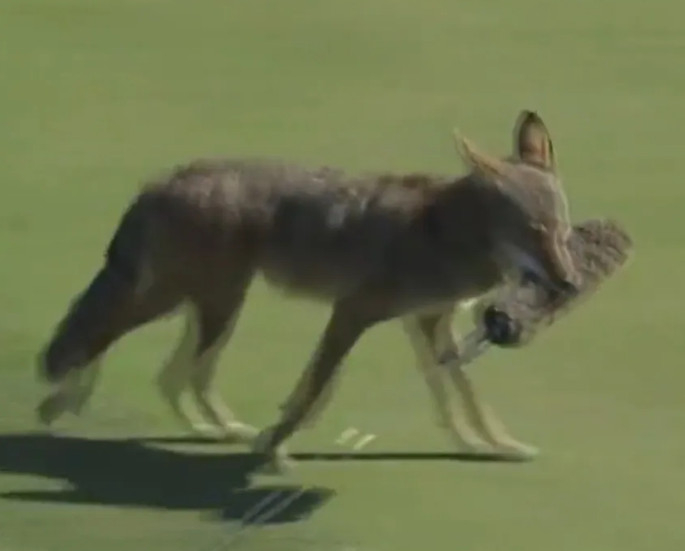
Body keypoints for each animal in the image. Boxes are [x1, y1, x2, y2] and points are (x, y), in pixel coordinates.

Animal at [37, 110, 579, 471]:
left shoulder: (426, 322)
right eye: (533, 232)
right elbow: (312, 389)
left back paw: (218, 430)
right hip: (191, 304)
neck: (444, 230)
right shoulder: (353, 312)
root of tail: (161, 179)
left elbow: (461, 397)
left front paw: (489, 445)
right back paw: (58, 403)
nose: (570, 282)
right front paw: (275, 447)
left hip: (210, 310)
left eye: (561, 230)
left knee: (173, 375)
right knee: (102, 340)